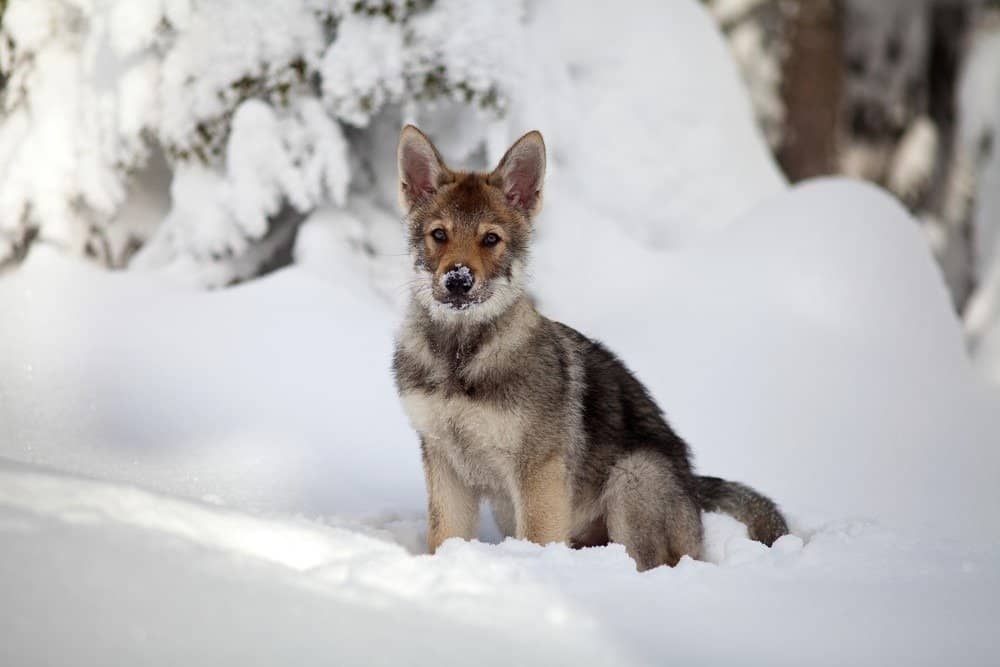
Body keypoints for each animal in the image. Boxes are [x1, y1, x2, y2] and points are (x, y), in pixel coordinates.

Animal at [390, 124, 788, 568]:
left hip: (633, 477)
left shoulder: (538, 472)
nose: (458, 280)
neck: (461, 357)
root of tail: (695, 492)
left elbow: (538, 541)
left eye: (490, 239)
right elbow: (444, 538)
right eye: (439, 235)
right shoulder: (445, 465)